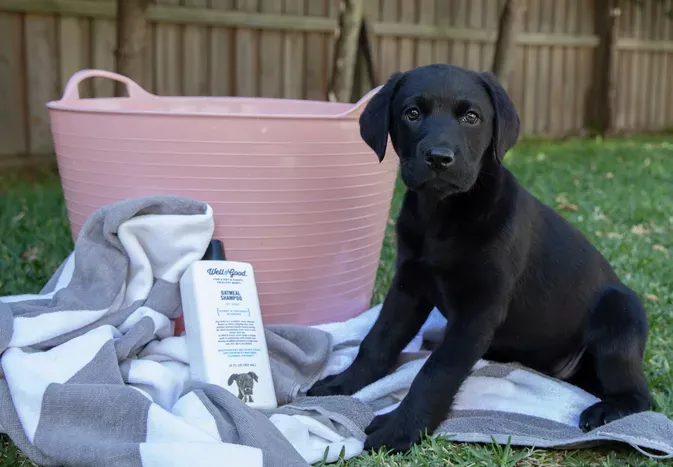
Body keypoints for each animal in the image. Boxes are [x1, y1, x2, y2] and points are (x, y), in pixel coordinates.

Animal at [308, 64, 652, 452]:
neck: (442, 216)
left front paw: (401, 427)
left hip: (620, 314)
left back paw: (606, 411)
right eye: (412, 113)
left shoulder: (478, 311)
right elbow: (378, 341)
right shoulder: (408, 287)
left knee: (641, 396)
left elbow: (436, 372)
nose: (439, 158)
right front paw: (342, 384)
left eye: (471, 117)